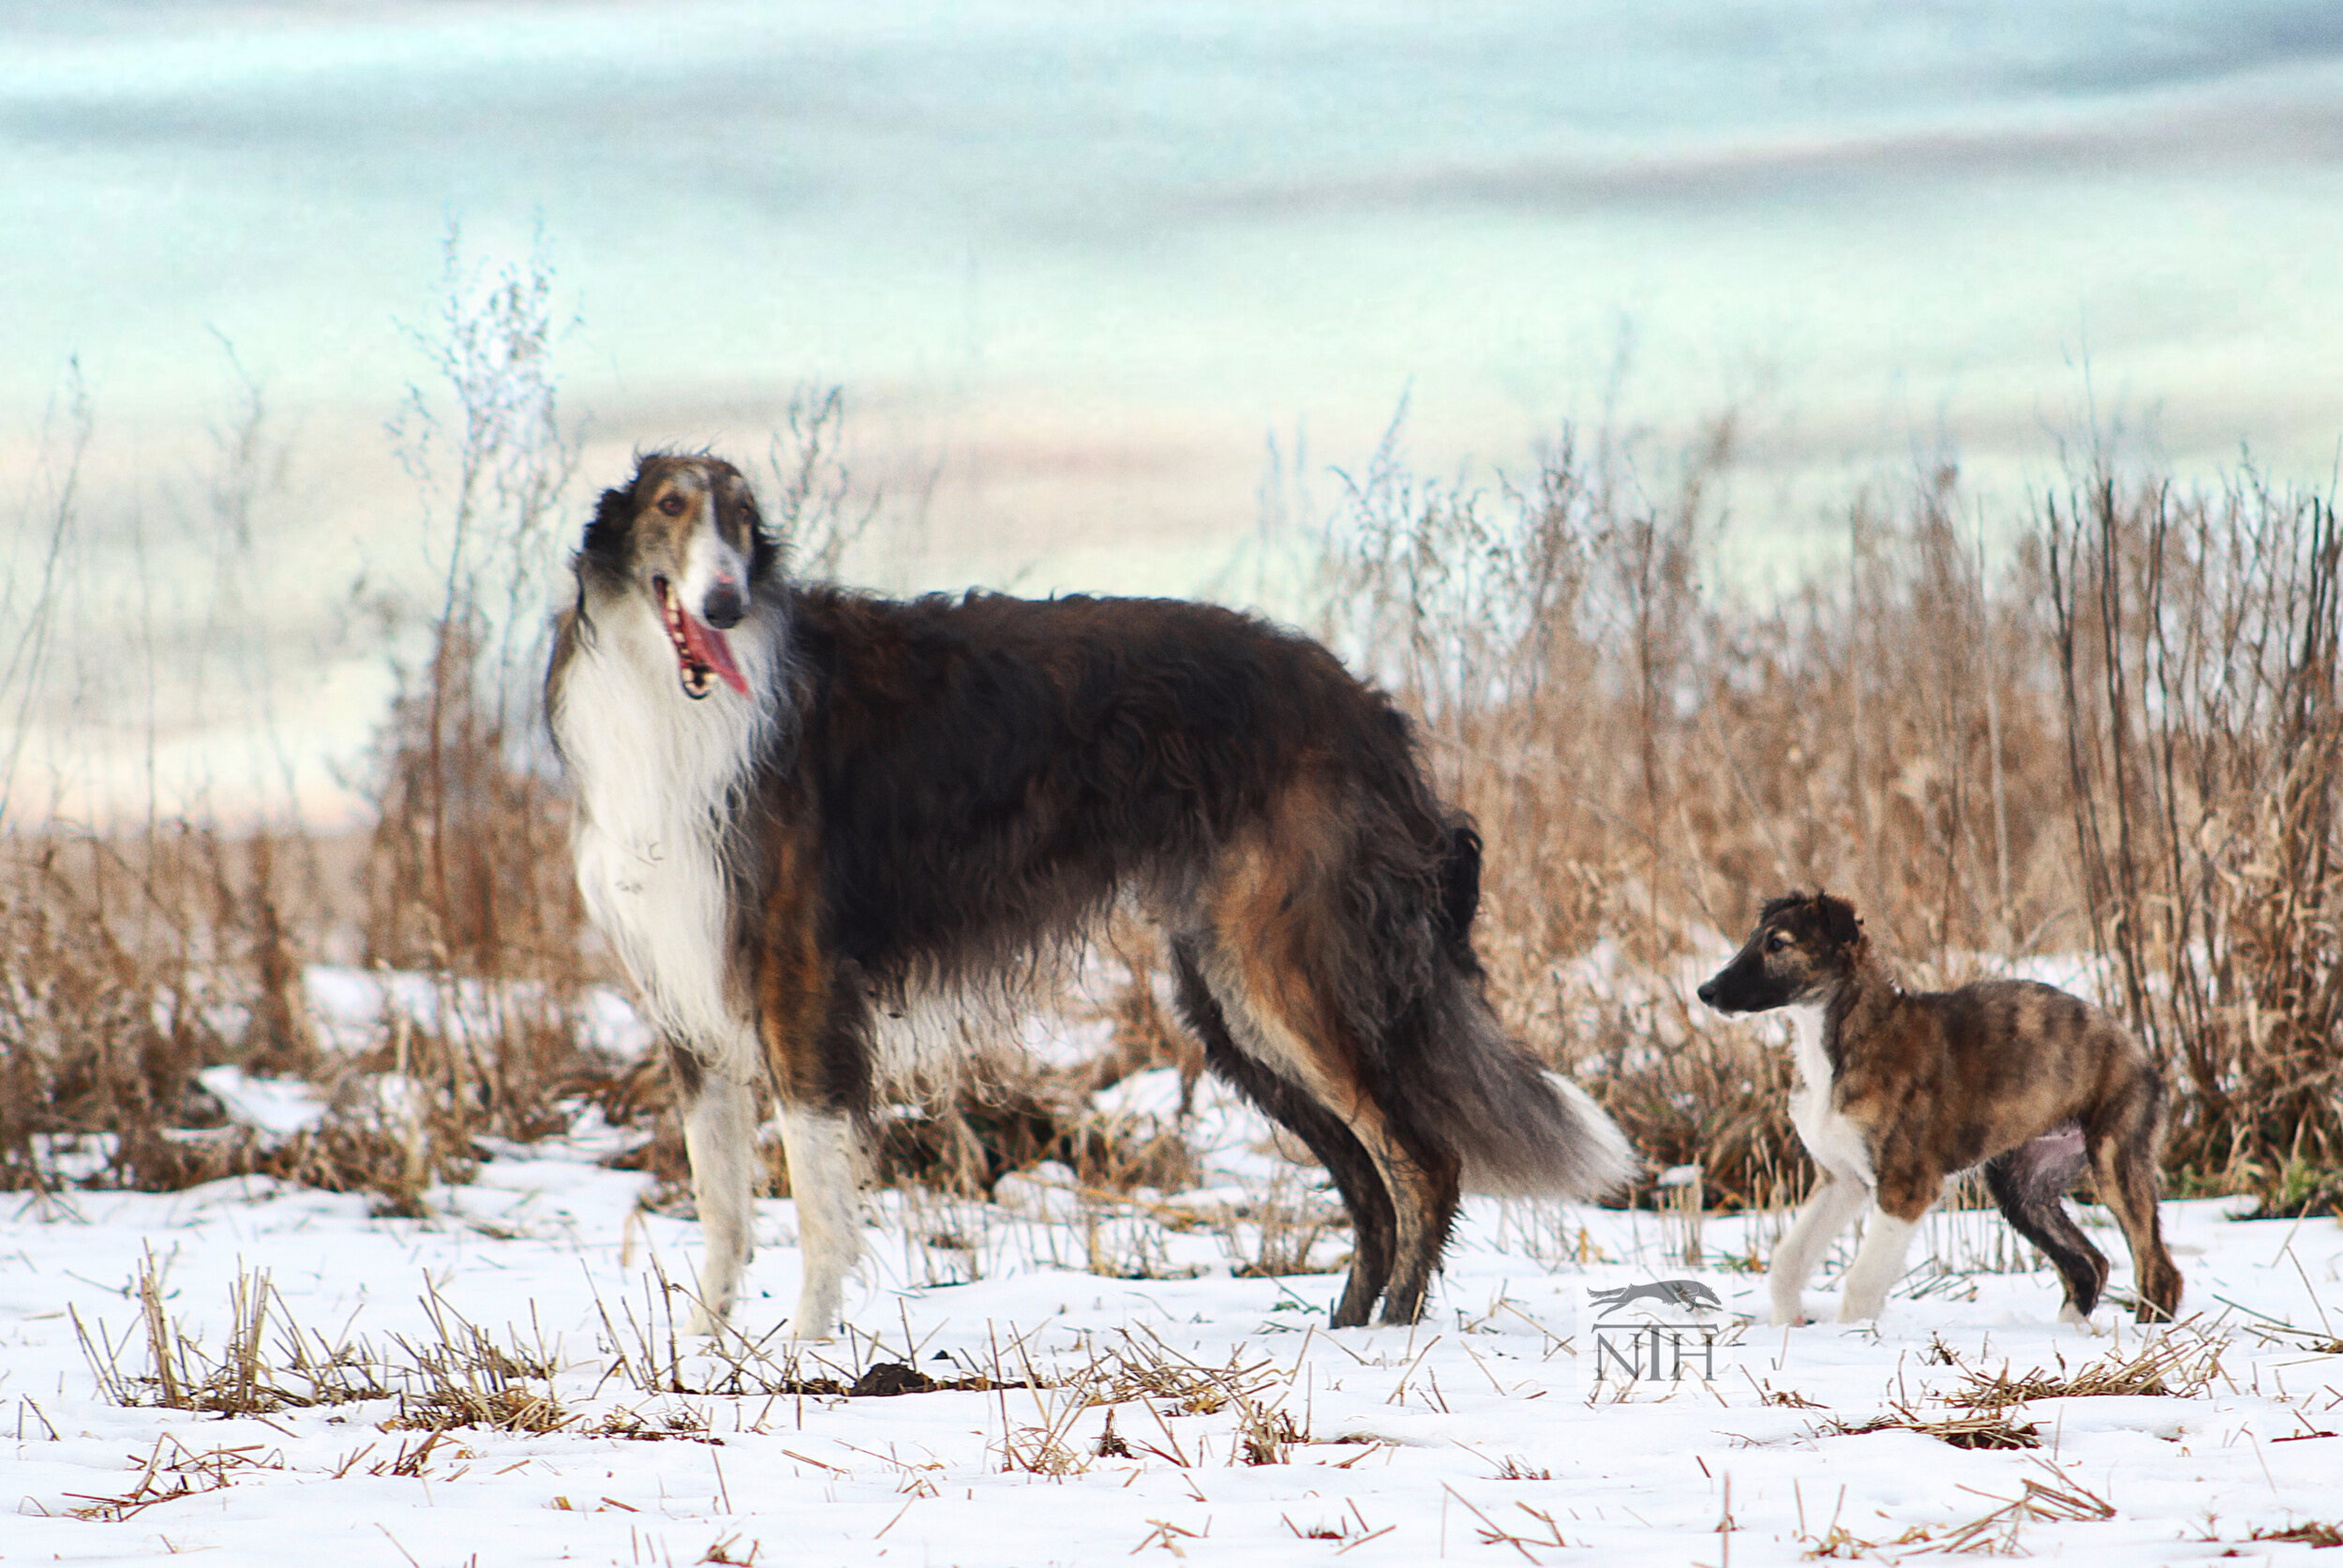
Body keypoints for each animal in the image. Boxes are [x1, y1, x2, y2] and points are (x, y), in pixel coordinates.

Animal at [550, 452, 1640, 1331]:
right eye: (672, 506)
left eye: (741, 518)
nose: (725, 603)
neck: (686, 709)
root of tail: (1368, 710)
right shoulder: (686, 1002)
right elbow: (725, 1209)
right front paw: (706, 1349)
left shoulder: (800, 981)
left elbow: (817, 1201)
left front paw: (802, 1354)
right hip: (1235, 1000)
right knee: (1371, 1184)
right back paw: (1345, 1328)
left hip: (1289, 981)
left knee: (1422, 1164)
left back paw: (1391, 1341)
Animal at [1706, 890, 2174, 1322]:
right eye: (1753, 940)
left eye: (1778, 944)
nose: (1705, 992)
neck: (1846, 1042)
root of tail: (2137, 1047)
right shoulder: (1841, 1179)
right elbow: (1787, 1262)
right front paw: (1790, 1324)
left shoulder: (1906, 1186)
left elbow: (1862, 1282)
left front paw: (1853, 1337)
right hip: (2023, 1186)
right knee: (2088, 1265)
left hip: (2115, 1159)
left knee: (2158, 1271)